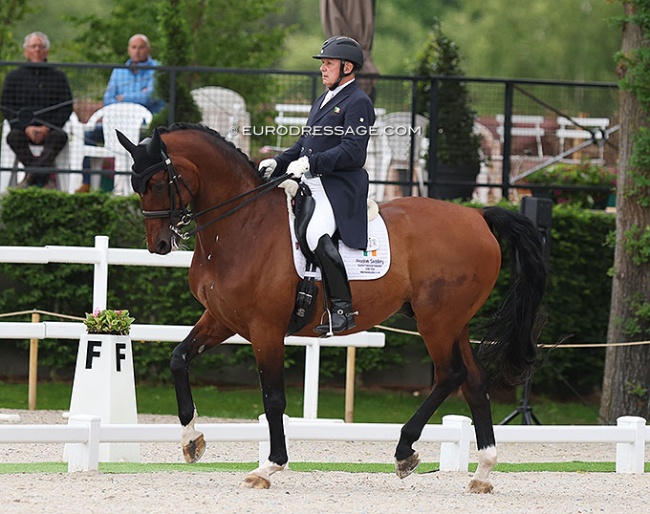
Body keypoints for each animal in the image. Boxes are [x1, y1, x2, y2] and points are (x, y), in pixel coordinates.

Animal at [115, 124, 540, 492]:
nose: (159, 245)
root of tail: (478, 215)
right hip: (453, 322)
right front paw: (192, 440)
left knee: (450, 375)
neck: (242, 224)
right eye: (137, 185)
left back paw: (405, 452)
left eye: (156, 183)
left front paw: (269, 466)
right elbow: (179, 359)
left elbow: (274, 398)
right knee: (474, 381)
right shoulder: (221, 319)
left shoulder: (265, 329)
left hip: (437, 321)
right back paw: (483, 471)